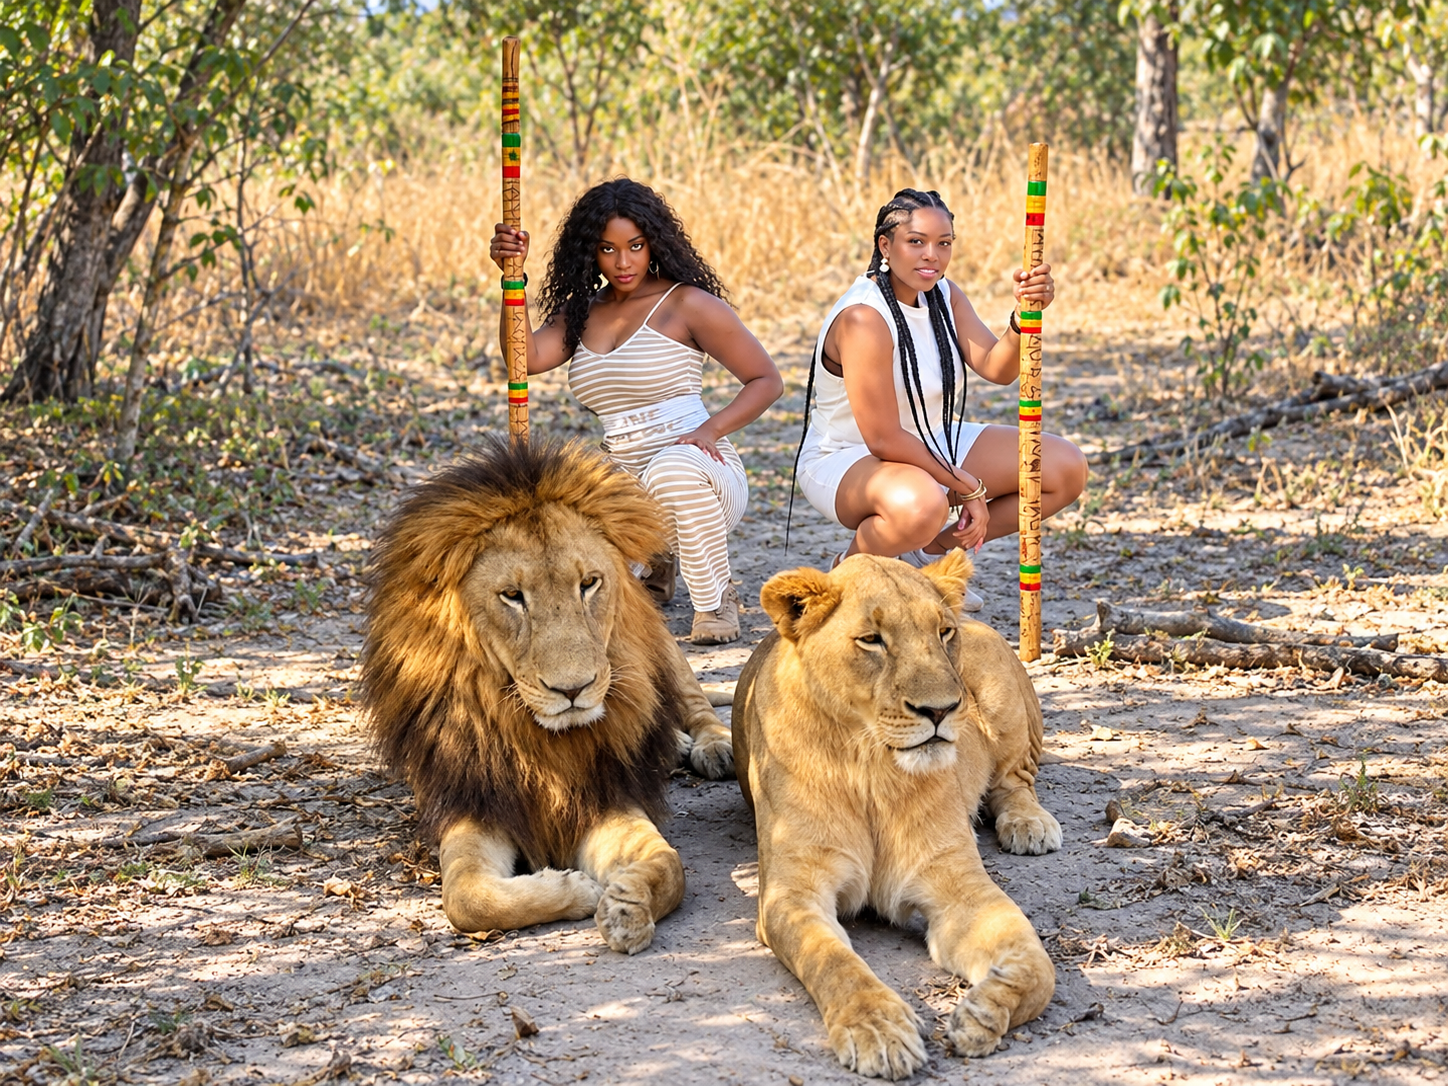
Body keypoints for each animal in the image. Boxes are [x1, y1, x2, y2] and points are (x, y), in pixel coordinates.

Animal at [360, 436, 734, 954]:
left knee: (696, 705)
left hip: (665, 649)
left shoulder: (605, 797)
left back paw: (712, 747)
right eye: (512, 595)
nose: (573, 689)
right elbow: (468, 899)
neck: (539, 739)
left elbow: (670, 866)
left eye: (589, 583)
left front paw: (626, 906)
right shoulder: (472, 804)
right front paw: (579, 887)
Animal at [732, 551, 1061, 1079]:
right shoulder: (791, 891)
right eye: (872, 640)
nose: (942, 710)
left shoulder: (957, 882)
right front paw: (878, 1029)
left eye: (943, 633)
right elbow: (832, 960)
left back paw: (1028, 824)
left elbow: (1038, 964)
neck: (872, 768)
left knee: (1015, 780)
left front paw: (984, 1013)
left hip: (1005, 706)